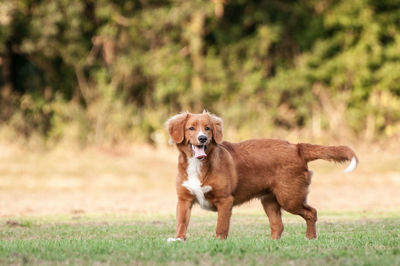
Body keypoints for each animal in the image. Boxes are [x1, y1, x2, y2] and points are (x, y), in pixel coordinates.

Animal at [164, 110, 358, 241]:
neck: (198, 165)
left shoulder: (225, 200)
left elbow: (221, 227)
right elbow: (181, 223)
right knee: (278, 225)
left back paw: (310, 238)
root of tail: (296, 147)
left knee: (312, 212)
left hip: (289, 198)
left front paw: (219, 243)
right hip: (269, 200)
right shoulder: (184, 199)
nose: (203, 138)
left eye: (207, 129)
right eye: (191, 128)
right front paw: (179, 240)